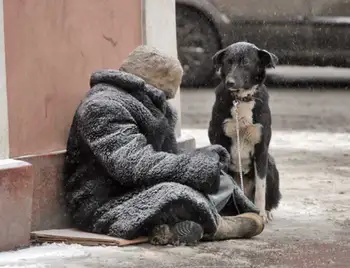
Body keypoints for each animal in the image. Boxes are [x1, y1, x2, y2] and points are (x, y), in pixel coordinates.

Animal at [208, 41, 282, 222]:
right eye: (228, 62)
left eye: (246, 62)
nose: (230, 82)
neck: (241, 99)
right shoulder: (219, 142)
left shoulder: (262, 148)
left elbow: (261, 187)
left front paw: (260, 213)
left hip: (270, 163)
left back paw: (266, 211)